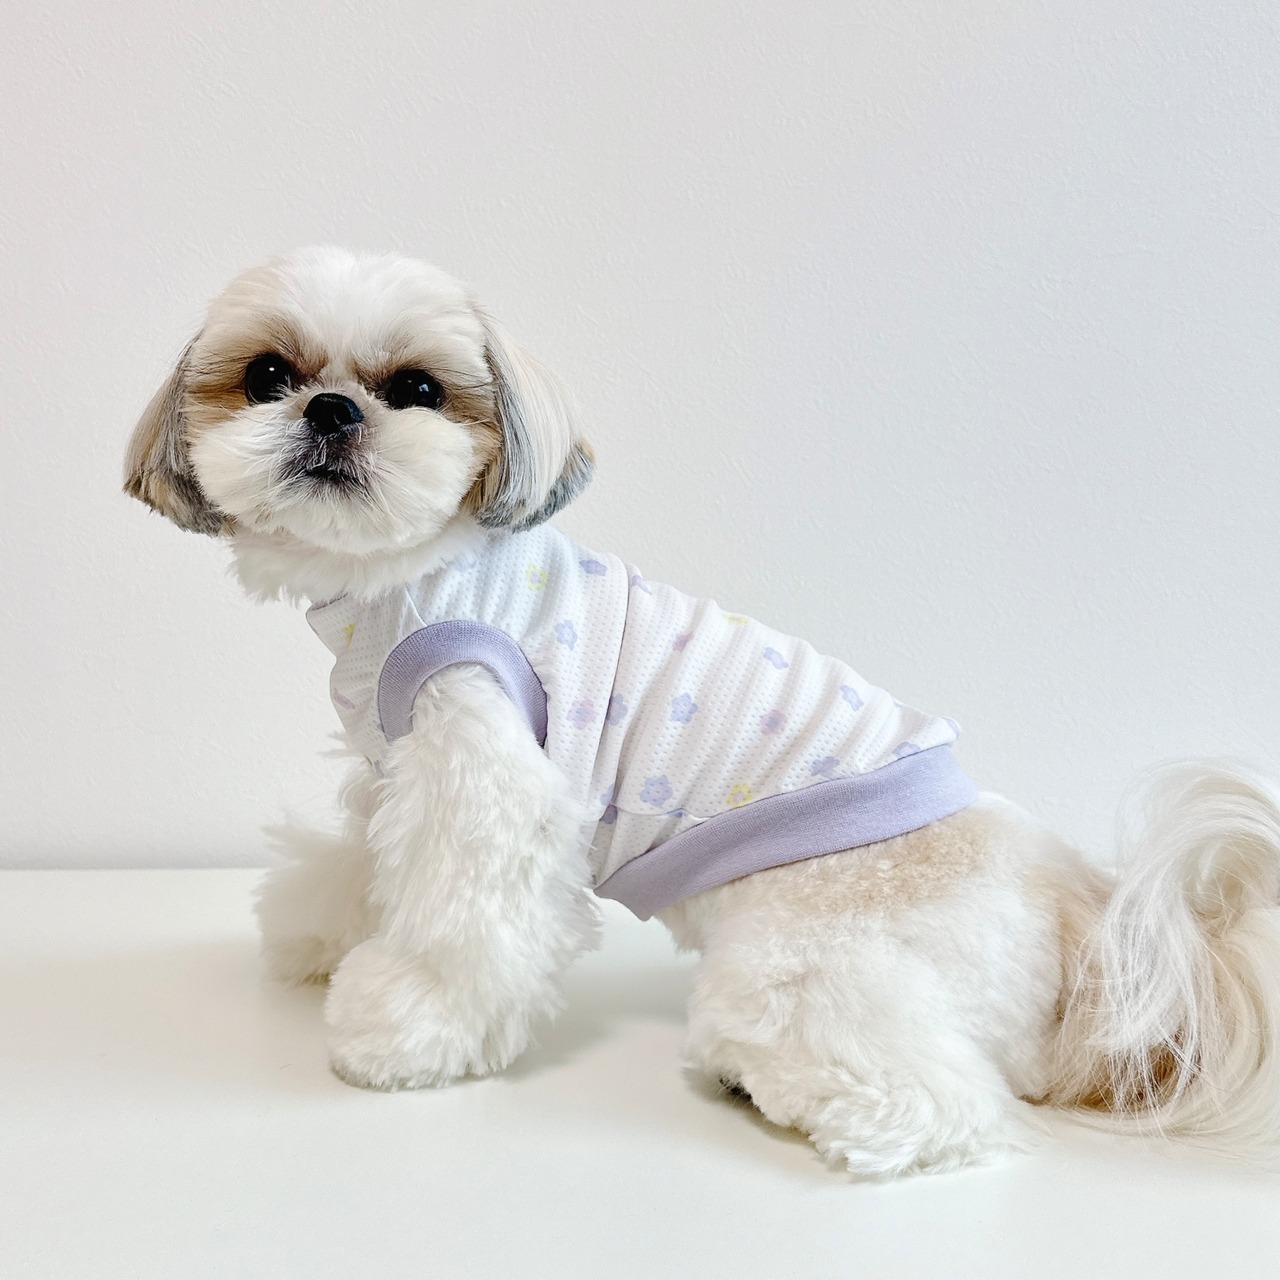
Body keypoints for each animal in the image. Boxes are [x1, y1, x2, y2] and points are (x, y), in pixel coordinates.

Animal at [123, 246, 1280, 1176]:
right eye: (268, 375)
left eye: (414, 387)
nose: (331, 410)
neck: (407, 578)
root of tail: (1082, 907)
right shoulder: (402, 754)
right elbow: (367, 857)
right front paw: (322, 931)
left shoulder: (483, 754)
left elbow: (464, 914)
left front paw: (402, 1026)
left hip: (802, 967)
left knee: (936, 1098)